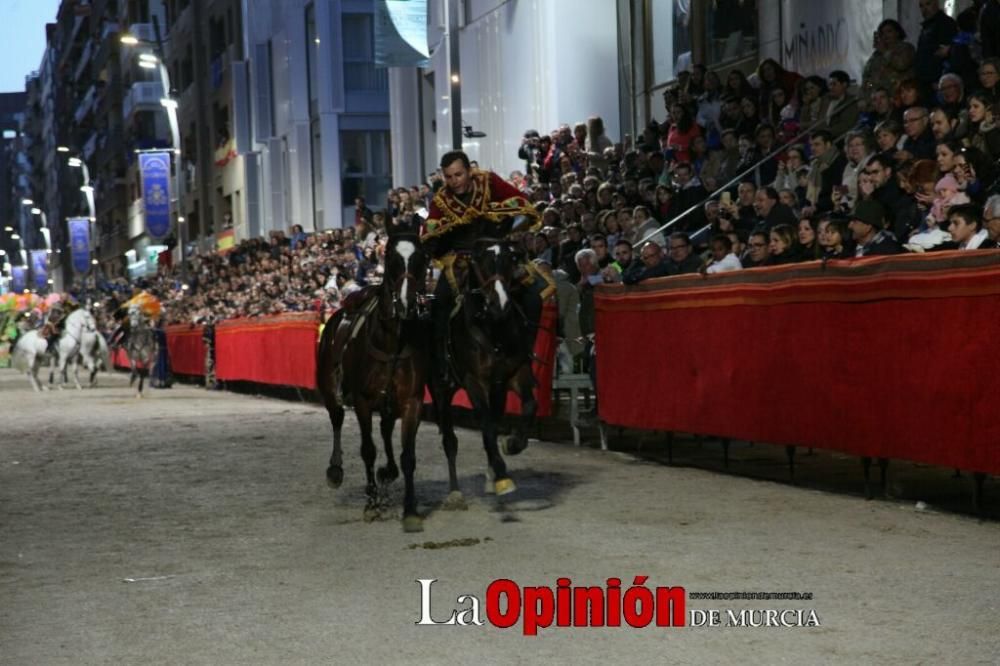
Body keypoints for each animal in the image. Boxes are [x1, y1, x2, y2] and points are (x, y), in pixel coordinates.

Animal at [318, 232, 432, 528]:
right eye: (391, 259)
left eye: (421, 258)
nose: (406, 302)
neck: (391, 343)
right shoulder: (362, 400)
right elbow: (368, 449)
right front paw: (371, 502)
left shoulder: (411, 400)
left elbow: (407, 455)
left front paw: (410, 509)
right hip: (328, 384)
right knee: (337, 416)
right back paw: (335, 470)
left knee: (386, 429)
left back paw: (387, 472)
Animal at [430, 239, 540, 504]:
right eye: (480, 262)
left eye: (510, 260)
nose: (500, 304)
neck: (494, 329)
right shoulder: (474, 382)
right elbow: (486, 425)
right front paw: (501, 474)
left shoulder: (515, 373)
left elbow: (529, 406)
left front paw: (512, 445)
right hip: (441, 389)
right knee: (450, 440)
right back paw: (455, 492)